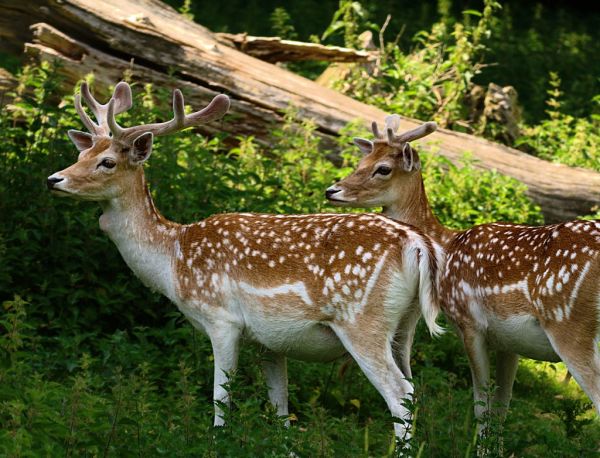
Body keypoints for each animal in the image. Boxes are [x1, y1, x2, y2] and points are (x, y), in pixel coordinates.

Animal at [48, 82, 446, 440]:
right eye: (81, 155)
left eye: (107, 162)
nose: (54, 178)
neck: (173, 258)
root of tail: (417, 244)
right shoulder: (269, 342)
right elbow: (281, 412)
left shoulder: (222, 319)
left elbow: (220, 401)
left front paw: (216, 443)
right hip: (404, 327)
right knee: (413, 390)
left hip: (362, 320)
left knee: (400, 395)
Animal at [326, 115, 600, 432]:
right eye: (362, 161)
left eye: (383, 168)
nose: (332, 190)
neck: (447, 246)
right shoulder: (510, 344)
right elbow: (501, 410)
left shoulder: (468, 323)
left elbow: (481, 409)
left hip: (570, 324)